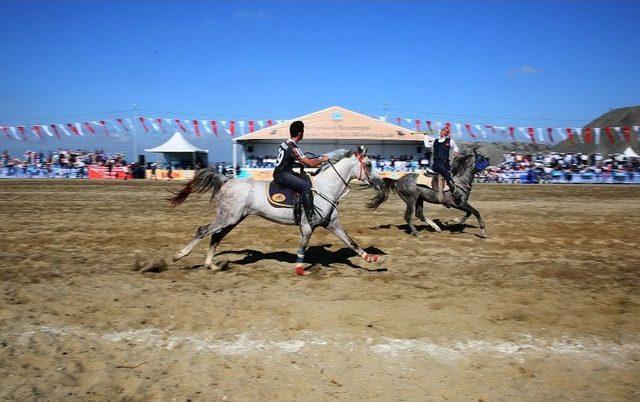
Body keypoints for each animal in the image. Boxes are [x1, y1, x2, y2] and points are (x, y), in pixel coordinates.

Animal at [169, 148, 384, 276]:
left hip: (233, 219)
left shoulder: (332, 224)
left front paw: (372, 258)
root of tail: (226, 180)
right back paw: (179, 255)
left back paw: (211, 265)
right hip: (226, 218)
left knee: (215, 237)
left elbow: (351, 242)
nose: (381, 184)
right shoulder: (308, 226)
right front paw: (300, 269)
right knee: (203, 230)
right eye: (368, 164)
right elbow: (302, 248)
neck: (326, 187)